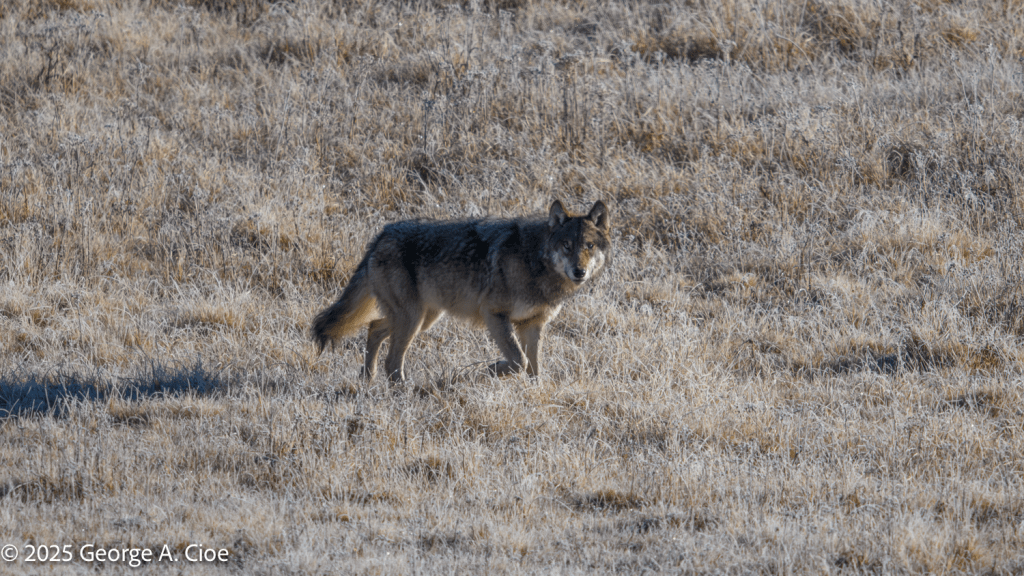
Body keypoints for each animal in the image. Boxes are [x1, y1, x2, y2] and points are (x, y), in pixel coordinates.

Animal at [311, 200, 611, 382]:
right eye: (567, 245)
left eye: (588, 246)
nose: (579, 272)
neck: (534, 261)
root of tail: (381, 235)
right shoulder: (495, 315)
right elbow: (519, 361)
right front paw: (493, 369)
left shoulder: (532, 325)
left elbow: (534, 367)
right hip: (413, 320)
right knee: (392, 361)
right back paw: (401, 389)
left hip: (422, 319)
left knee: (374, 328)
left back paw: (367, 377)